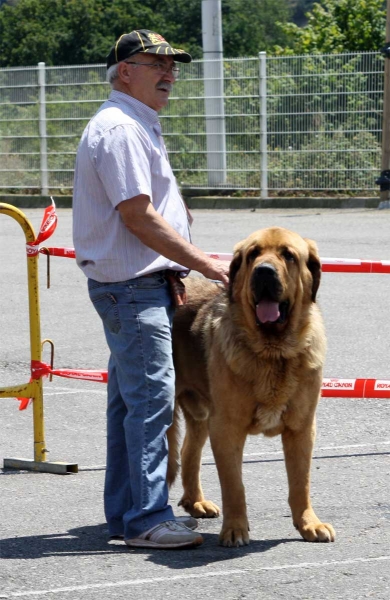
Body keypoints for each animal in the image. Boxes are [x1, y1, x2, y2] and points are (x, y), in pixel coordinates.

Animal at [169, 227, 336, 548]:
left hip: (201, 414)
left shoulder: (301, 427)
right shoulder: (227, 427)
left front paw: (308, 523)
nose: (264, 271)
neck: (274, 353)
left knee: (188, 450)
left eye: (288, 255)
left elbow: (301, 482)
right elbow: (234, 485)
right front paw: (235, 530)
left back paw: (196, 502)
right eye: (253, 255)